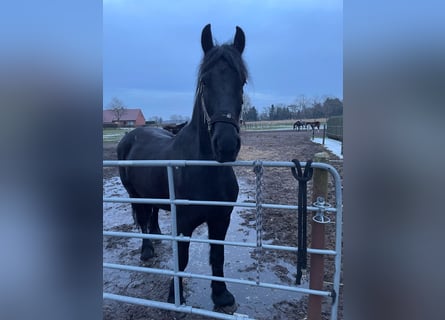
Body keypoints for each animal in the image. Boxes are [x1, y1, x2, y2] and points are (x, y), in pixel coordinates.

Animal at [116, 24, 246, 310]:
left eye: (241, 81)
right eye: (204, 81)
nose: (226, 145)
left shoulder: (221, 218)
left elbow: (217, 256)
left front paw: (221, 295)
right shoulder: (184, 223)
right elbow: (182, 259)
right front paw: (174, 296)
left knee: (152, 215)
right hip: (134, 195)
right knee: (143, 220)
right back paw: (147, 250)